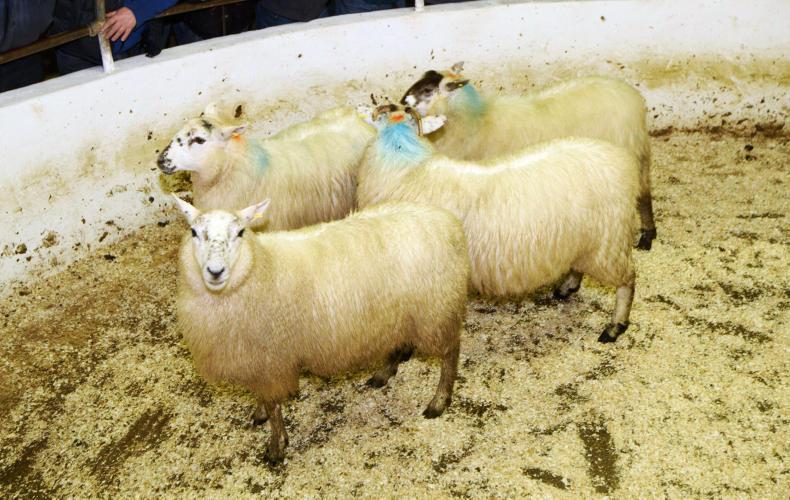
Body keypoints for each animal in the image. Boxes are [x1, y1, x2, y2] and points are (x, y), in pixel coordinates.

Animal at [173, 195, 469, 463]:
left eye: (240, 232)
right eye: (194, 232)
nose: (215, 271)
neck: (260, 267)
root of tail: (449, 222)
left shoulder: (271, 360)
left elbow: (274, 405)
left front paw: (277, 446)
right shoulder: (259, 360)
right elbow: (264, 399)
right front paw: (261, 415)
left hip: (436, 311)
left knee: (451, 352)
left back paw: (439, 400)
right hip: (402, 313)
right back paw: (383, 373)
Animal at [357, 105, 640, 343]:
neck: (403, 157)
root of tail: (623, 162)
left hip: (608, 242)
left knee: (628, 279)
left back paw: (615, 326)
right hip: (584, 240)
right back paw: (566, 287)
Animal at [400, 62, 657, 250]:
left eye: (427, 90)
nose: (403, 103)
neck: (475, 121)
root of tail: (633, 97)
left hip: (631, 151)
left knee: (642, 194)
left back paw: (646, 237)